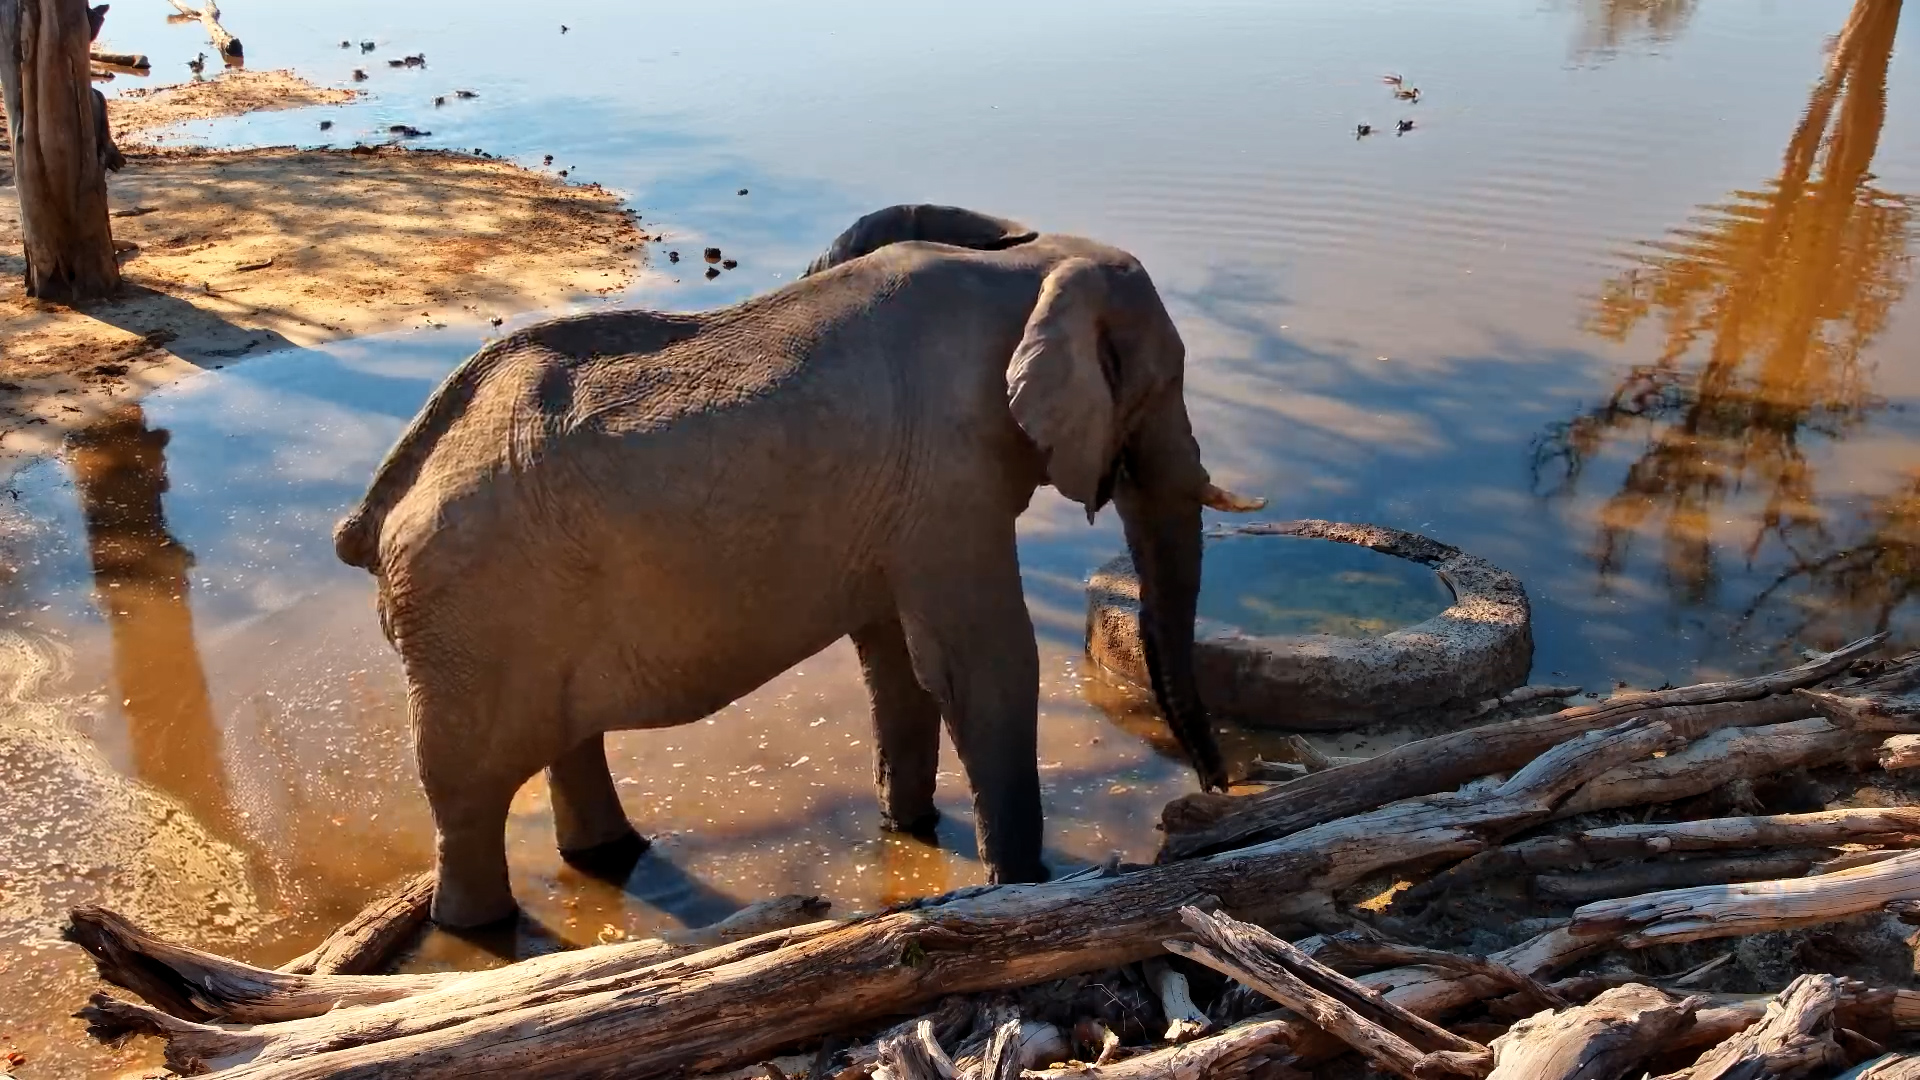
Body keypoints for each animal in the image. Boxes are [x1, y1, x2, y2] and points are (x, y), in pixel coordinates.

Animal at [333, 204, 1264, 927]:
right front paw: (1024, 885)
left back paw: (611, 859)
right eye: (1160, 386)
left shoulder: (902, 499)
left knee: (565, 743)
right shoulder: (949, 475)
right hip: (472, 618)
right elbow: (982, 662)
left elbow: (898, 662)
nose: (1215, 793)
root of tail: (378, 506)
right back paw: (480, 929)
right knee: (467, 791)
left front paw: (911, 834)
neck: (1028, 264)